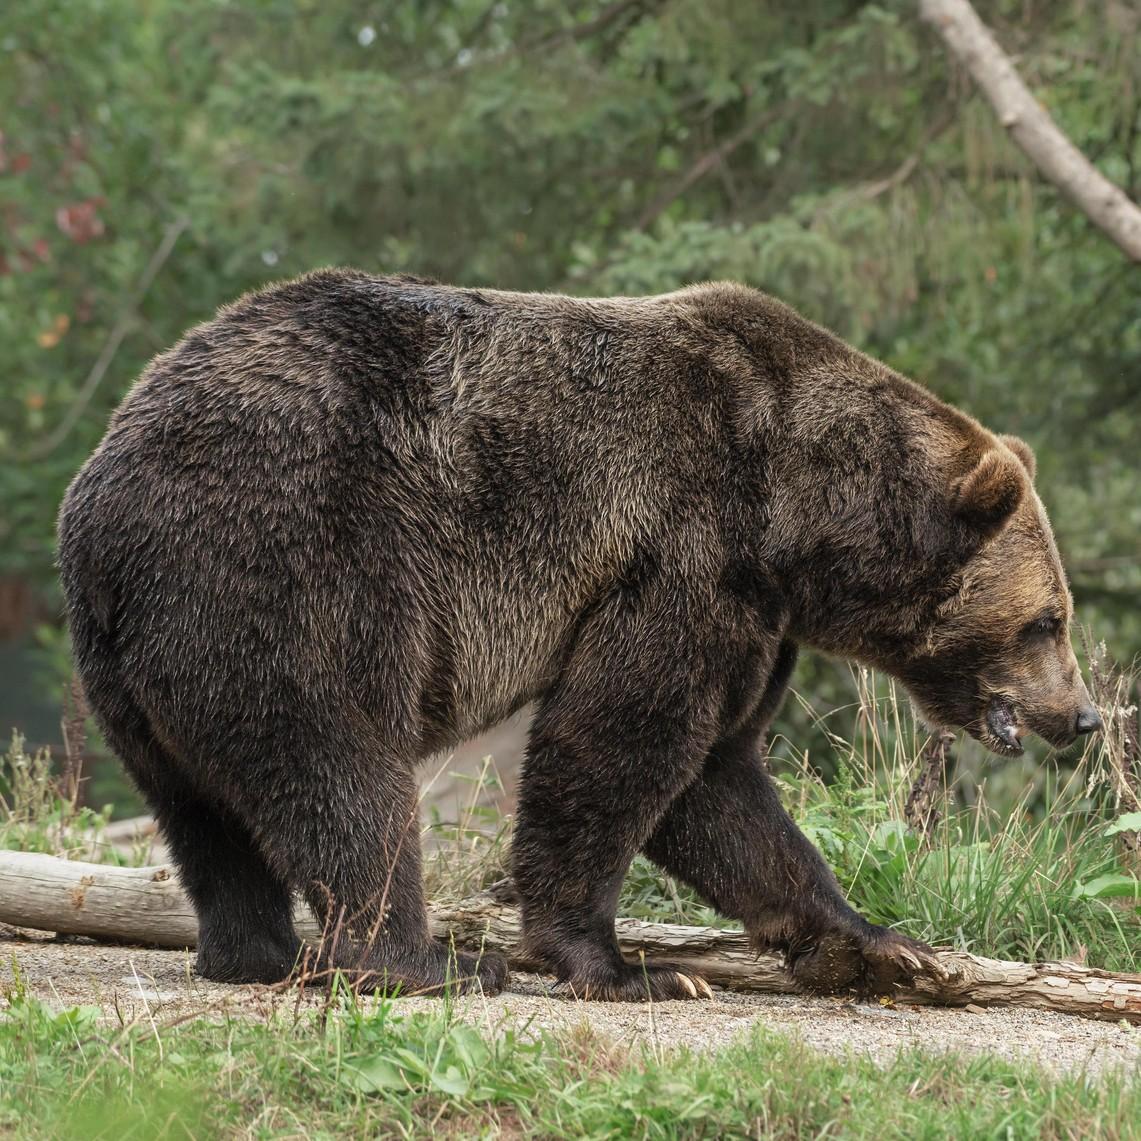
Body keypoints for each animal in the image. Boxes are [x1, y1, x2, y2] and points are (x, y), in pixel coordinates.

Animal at [57, 270, 1101, 1000]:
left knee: (201, 810)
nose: (1082, 715)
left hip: (132, 663)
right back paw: (422, 961)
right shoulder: (682, 549)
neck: (797, 515)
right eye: (1047, 619)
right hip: (295, 563)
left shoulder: (754, 613)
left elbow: (718, 781)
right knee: (338, 766)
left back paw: (254, 953)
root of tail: (106, 495)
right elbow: (618, 743)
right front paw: (628, 965)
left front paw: (877, 942)